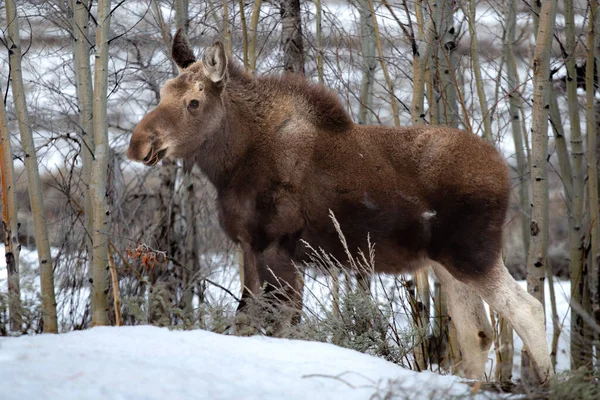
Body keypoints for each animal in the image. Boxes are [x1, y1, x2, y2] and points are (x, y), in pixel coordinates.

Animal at [127, 29, 552, 382]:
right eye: (163, 93)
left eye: (194, 102)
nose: (138, 143)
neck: (230, 167)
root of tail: (504, 172)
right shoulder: (248, 246)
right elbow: (246, 320)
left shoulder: (277, 247)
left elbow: (281, 325)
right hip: (446, 264)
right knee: (476, 334)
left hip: (472, 253)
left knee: (528, 310)